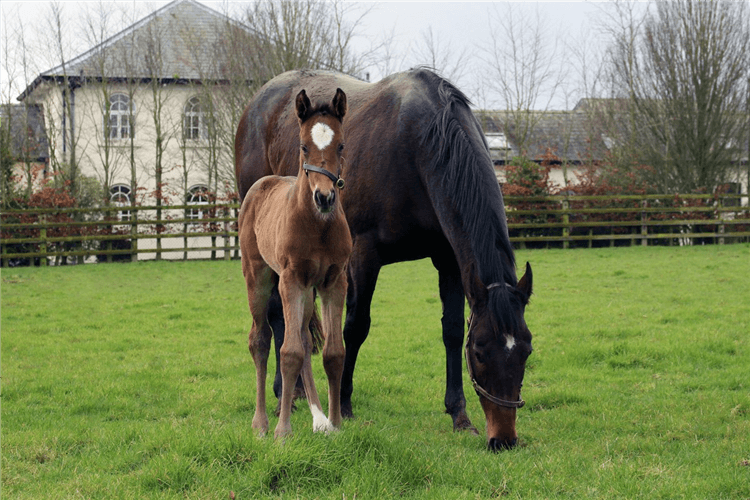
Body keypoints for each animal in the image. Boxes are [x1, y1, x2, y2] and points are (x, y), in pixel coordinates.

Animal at [235, 68, 536, 452]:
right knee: (276, 317)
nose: (504, 439)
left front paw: (459, 414)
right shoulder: (363, 255)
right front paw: (343, 403)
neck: (419, 142)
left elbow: (452, 331)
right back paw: (282, 395)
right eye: (481, 351)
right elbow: (355, 327)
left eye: (526, 351)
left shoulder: (449, 259)